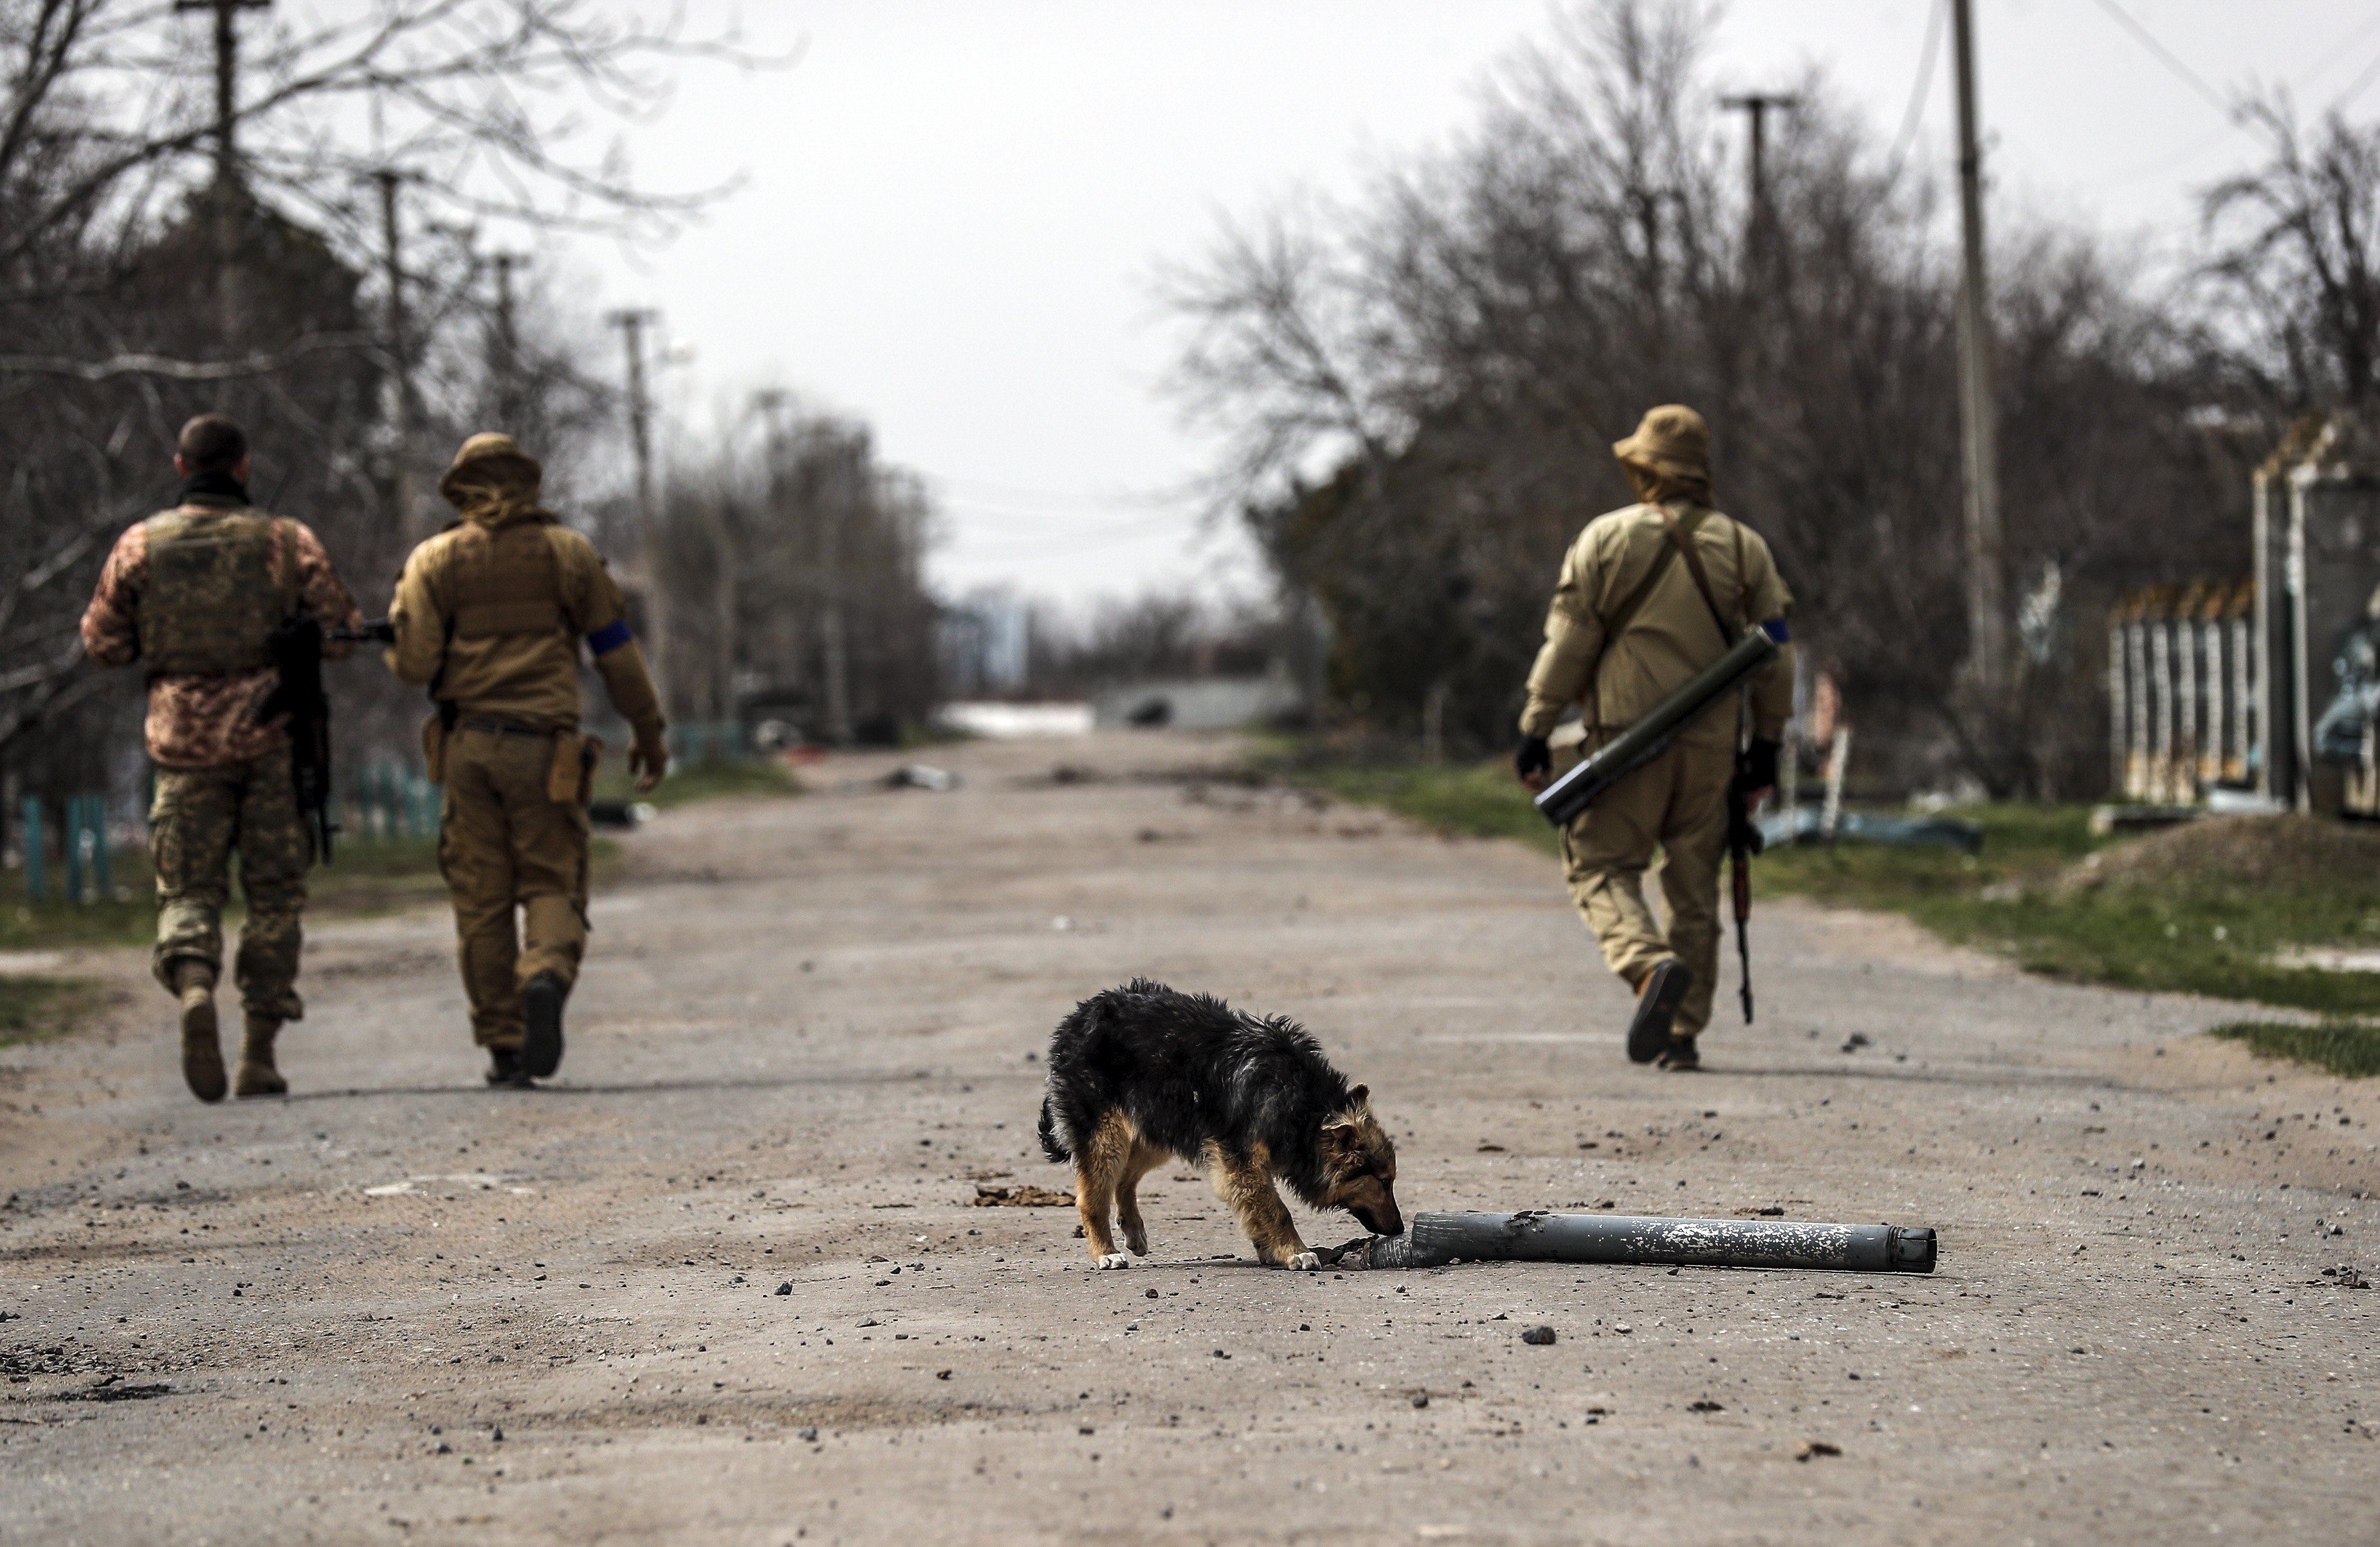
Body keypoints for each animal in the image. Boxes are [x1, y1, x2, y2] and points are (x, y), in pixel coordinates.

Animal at [1038, 976, 1399, 1266]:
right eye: (1384, 1182)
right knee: (1093, 1197)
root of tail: (1078, 1018)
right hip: (1108, 1134)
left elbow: (1258, 1207)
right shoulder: (1240, 1160)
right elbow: (1276, 1209)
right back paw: (1106, 1253)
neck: (1303, 1104)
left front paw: (1270, 1250)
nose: (1399, 1228)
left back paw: (1134, 1230)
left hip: (1159, 1125)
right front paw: (1295, 1251)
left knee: (1125, 1178)